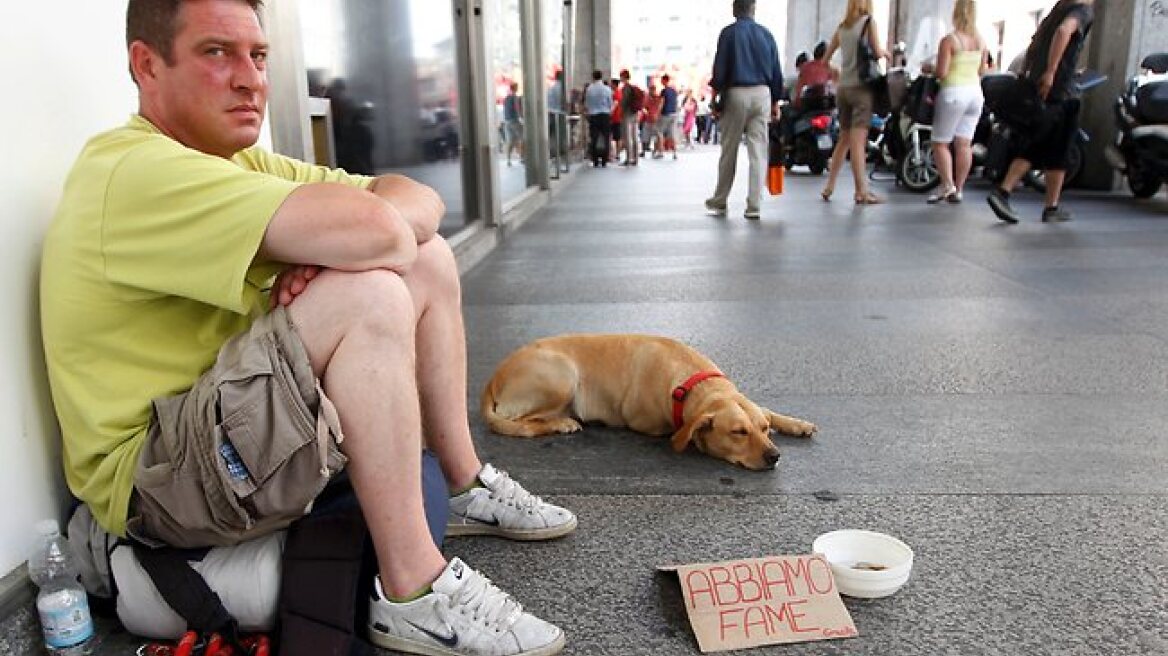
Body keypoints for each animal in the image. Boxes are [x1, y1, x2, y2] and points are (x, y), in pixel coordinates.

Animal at [478, 333, 817, 466]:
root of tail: (493, 377)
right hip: (562, 375)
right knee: (519, 422)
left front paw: (795, 423)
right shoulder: (654, 423)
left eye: (763, 429)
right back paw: (560, 422)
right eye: (738, 432)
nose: (775, 456)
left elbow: (769, 409)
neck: (693, 381)